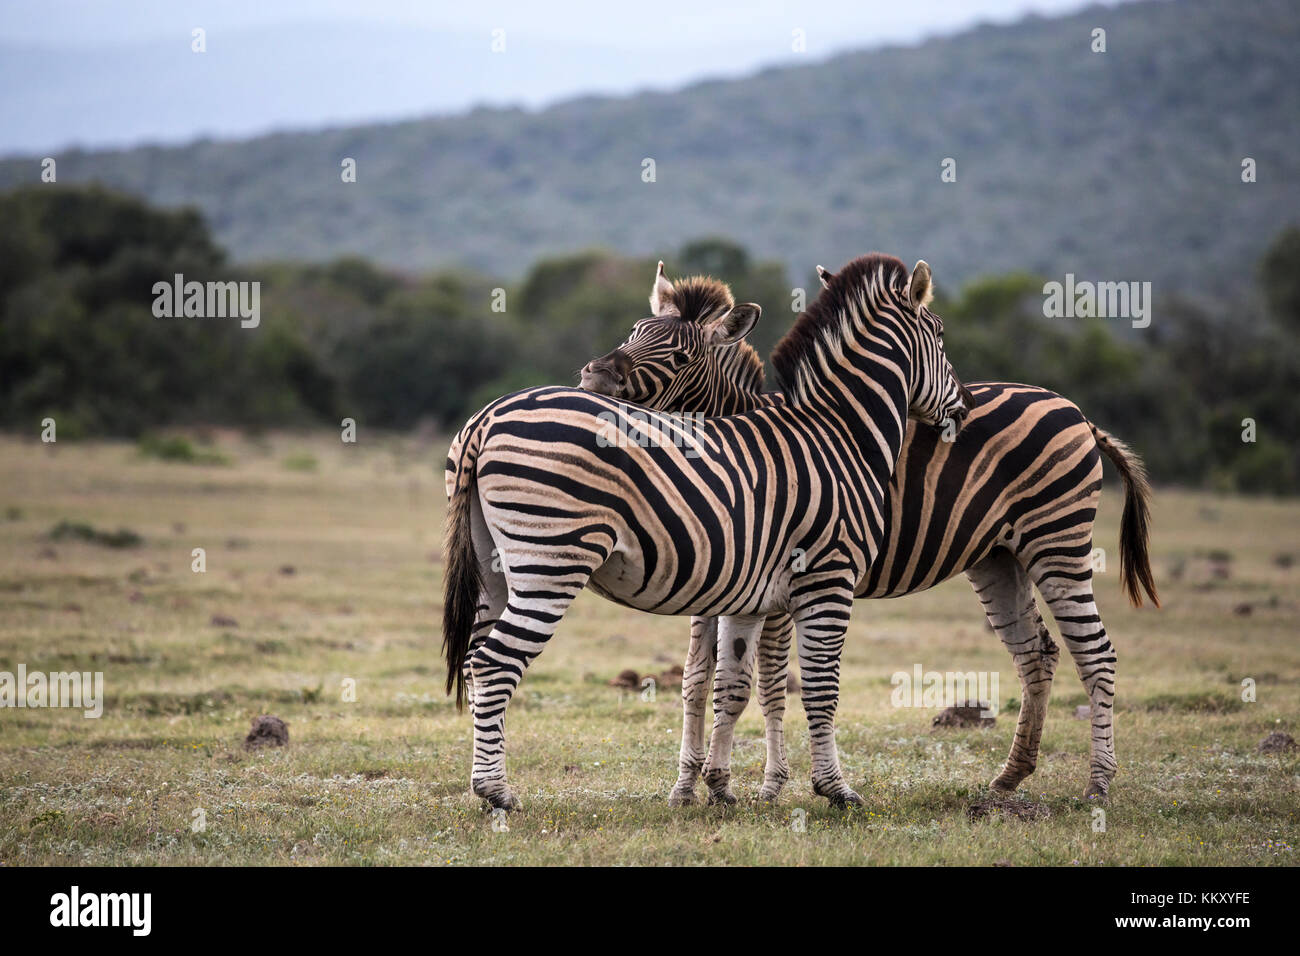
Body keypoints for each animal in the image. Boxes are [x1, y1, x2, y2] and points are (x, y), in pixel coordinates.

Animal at [441, 252, 972, 806]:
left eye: (678, 354)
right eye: (939, 334)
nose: (963, 406)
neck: (840, 435)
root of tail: (486, 417)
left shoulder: (748, 595)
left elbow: (727, 682)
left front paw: (717, 787)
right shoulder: (828, 578)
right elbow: (819, 687)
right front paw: (834, 790)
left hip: (494, 569)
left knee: (475, 660)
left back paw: (485, 784)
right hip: (551, 564)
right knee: (494, 663)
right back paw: (496, 791)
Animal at [579, 257, 1159, 806]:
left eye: (680, 357)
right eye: (633, 331)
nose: (594, 378)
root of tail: (1073, 409)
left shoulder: (774, 588)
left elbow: (768, 684)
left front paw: (766, 786)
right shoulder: (721, 582)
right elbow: (698, 681)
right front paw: (687, 787)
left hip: (1057, 541)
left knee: (1095, 653)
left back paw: (1098, 784)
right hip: (999, 556)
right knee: (1037, 653)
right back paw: (1008, 778)